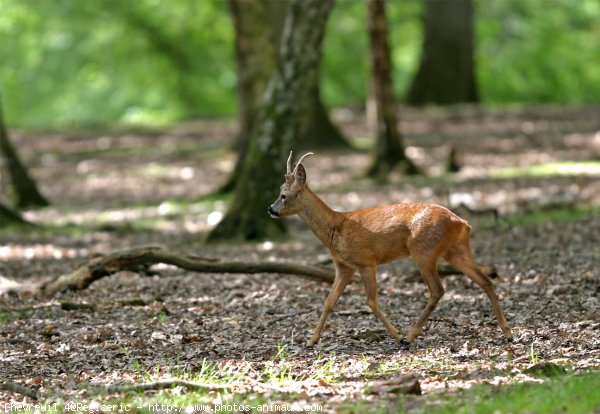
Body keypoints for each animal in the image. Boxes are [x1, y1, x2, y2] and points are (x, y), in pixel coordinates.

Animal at [270, 152, 512, 346]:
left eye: (283, 195)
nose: (270, 209)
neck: (335, 227)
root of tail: (462, 222)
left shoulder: (366, 261)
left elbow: (371, 301)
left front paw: (396, 335)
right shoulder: (344, 267)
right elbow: (329, 302)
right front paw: (311, 341)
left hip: (424, 250)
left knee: (438, 289)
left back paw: (410, 337)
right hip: (456, 250)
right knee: (485, 281)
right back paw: (507, 332)